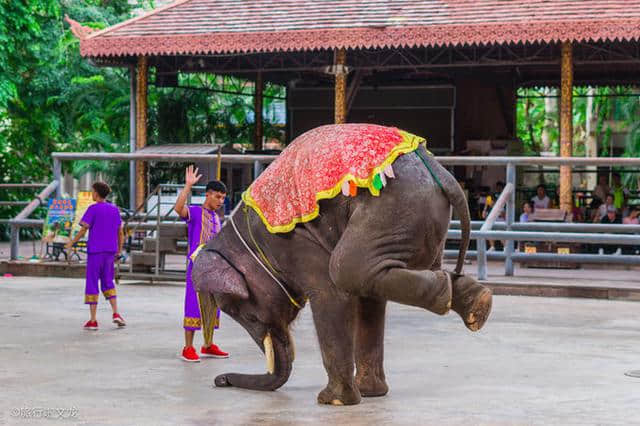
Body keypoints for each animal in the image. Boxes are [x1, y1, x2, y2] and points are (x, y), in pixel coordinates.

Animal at [192, 129, 492, 406]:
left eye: (247, 316)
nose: (220, 380)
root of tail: (443, 174)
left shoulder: (295, 241)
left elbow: (331, 293)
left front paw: (333, 401)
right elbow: (367, 302)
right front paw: (368, 394)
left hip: (395, 210)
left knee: (346, 268)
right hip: (414, 221)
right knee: (374, 274)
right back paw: (474, 300)